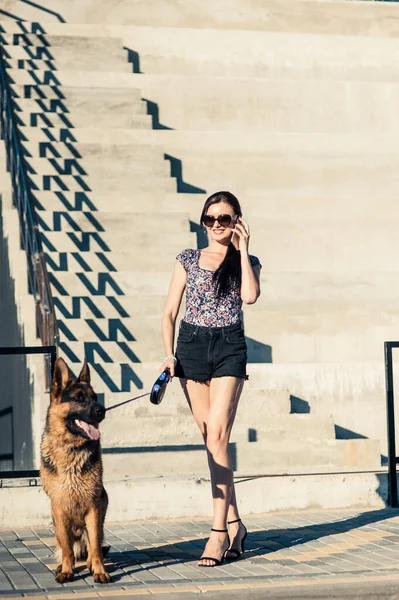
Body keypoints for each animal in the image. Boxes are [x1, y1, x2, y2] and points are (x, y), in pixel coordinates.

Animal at [40, 358, 111, 584]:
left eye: (95, 397)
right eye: (79, 398)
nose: (102, 411)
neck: (71, 449)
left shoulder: (93, 508)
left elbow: (95, 547)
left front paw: (99, 571)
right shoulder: (59, 507)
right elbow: (67, 549)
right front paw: (66, 570)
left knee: (91, 545)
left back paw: (90, 564)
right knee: (68, 547)